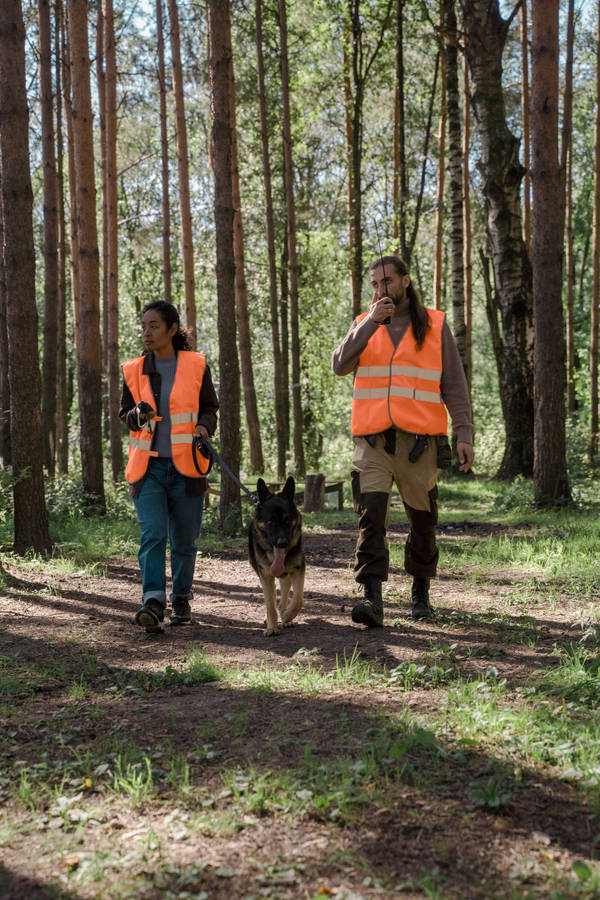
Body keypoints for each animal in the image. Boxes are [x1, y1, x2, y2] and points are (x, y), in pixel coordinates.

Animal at [247, 474, 304, 636]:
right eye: (270, 522)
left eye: (287, 521)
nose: (282, 543)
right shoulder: (265, 575)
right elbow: (270, 604)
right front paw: (271, 627)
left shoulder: (298, 570)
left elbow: (298, 599)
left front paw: (288, 615)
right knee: (272, 597)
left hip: (286, 576)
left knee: (284, 593)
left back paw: (285, 615)